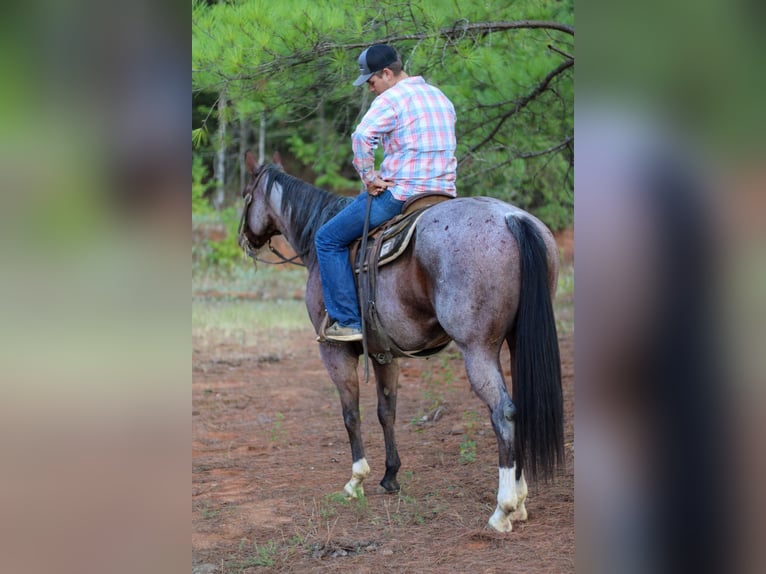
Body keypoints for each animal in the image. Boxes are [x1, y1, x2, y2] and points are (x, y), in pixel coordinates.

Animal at [243, 151, 568, 532]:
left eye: (247, 194)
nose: (246, 240)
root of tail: (511, 218)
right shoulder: (385, 354)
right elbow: (387, 412)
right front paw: (390, 476)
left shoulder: (333, 351)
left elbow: (350, 414)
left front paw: (356, 481)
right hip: (516, 343)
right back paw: (521, 501)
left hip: (478, 349)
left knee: (504, 413)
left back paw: (504, 508)